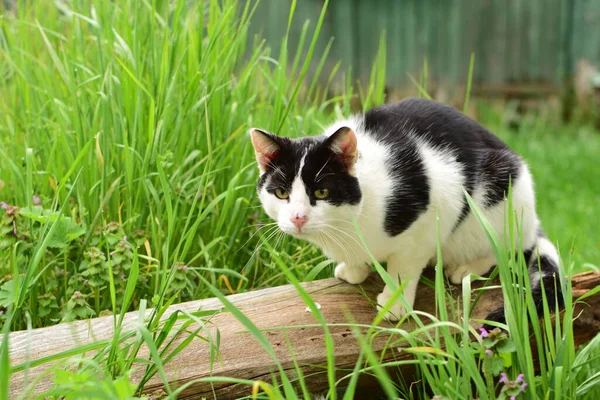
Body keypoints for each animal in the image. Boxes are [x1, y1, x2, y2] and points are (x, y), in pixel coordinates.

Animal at [250, 98, 564, 324]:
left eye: (321, 192)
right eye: (281, 193)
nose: (298, 218)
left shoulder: (431, 214)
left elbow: (404, 267)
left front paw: (395, 304)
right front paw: (353, 269)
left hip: (501, 194)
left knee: (506, 248)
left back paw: (466, 268)